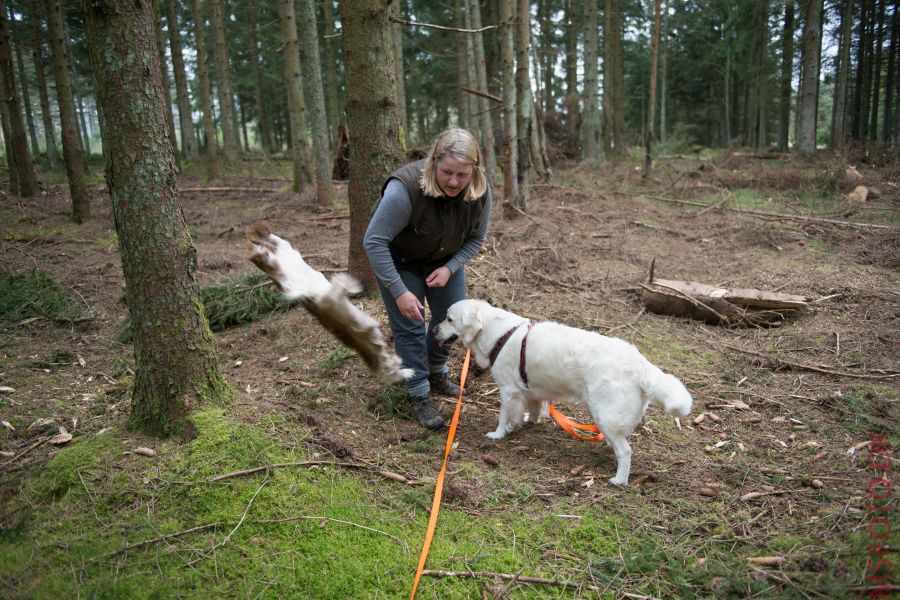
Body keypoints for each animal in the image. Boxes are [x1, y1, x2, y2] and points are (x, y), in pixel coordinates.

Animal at [432, 300, 692, 488]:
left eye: (449, 319)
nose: (433, 329)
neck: (500, 334)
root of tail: (640, 363)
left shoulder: (507, 390)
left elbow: (504, 416)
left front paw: (498, 434)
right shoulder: (529, 388)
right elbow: (533, 407)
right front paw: (528, 422)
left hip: (605, 414)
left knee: (626, 451)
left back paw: (619, 480)